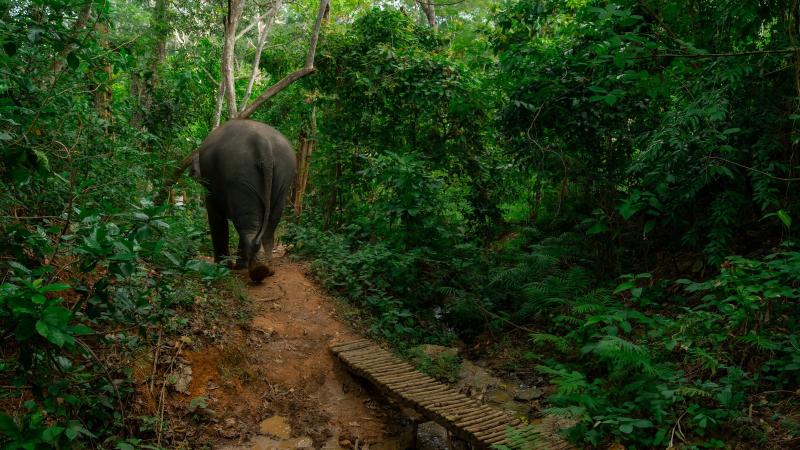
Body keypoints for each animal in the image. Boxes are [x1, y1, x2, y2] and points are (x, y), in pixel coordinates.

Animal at [193, 119, 296, 282]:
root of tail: (263, 142)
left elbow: (216, 217)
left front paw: (221, 267)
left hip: (240, 175)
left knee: (247, 224)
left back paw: (256, 271)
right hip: (284, 176)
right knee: (266, 225)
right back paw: (267, 269)